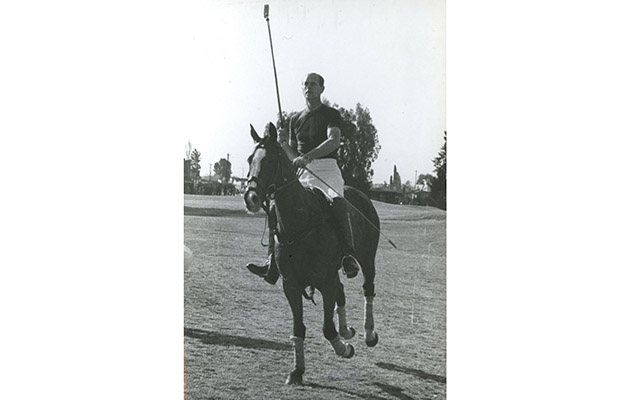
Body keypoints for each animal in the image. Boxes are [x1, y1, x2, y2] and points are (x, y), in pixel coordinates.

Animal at [242, 122, 380, 384]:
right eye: (249, 160)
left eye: (271, 159)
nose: (251, 198)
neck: (300, 223)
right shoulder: (291, 284)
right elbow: (299, 329)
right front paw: (297, 371)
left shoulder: (324, 280)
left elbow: (327, 328)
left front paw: (344, 349)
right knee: (342, 291)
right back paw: (347, 330)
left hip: (367, 257)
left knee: (368, 288)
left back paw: (368, 334)